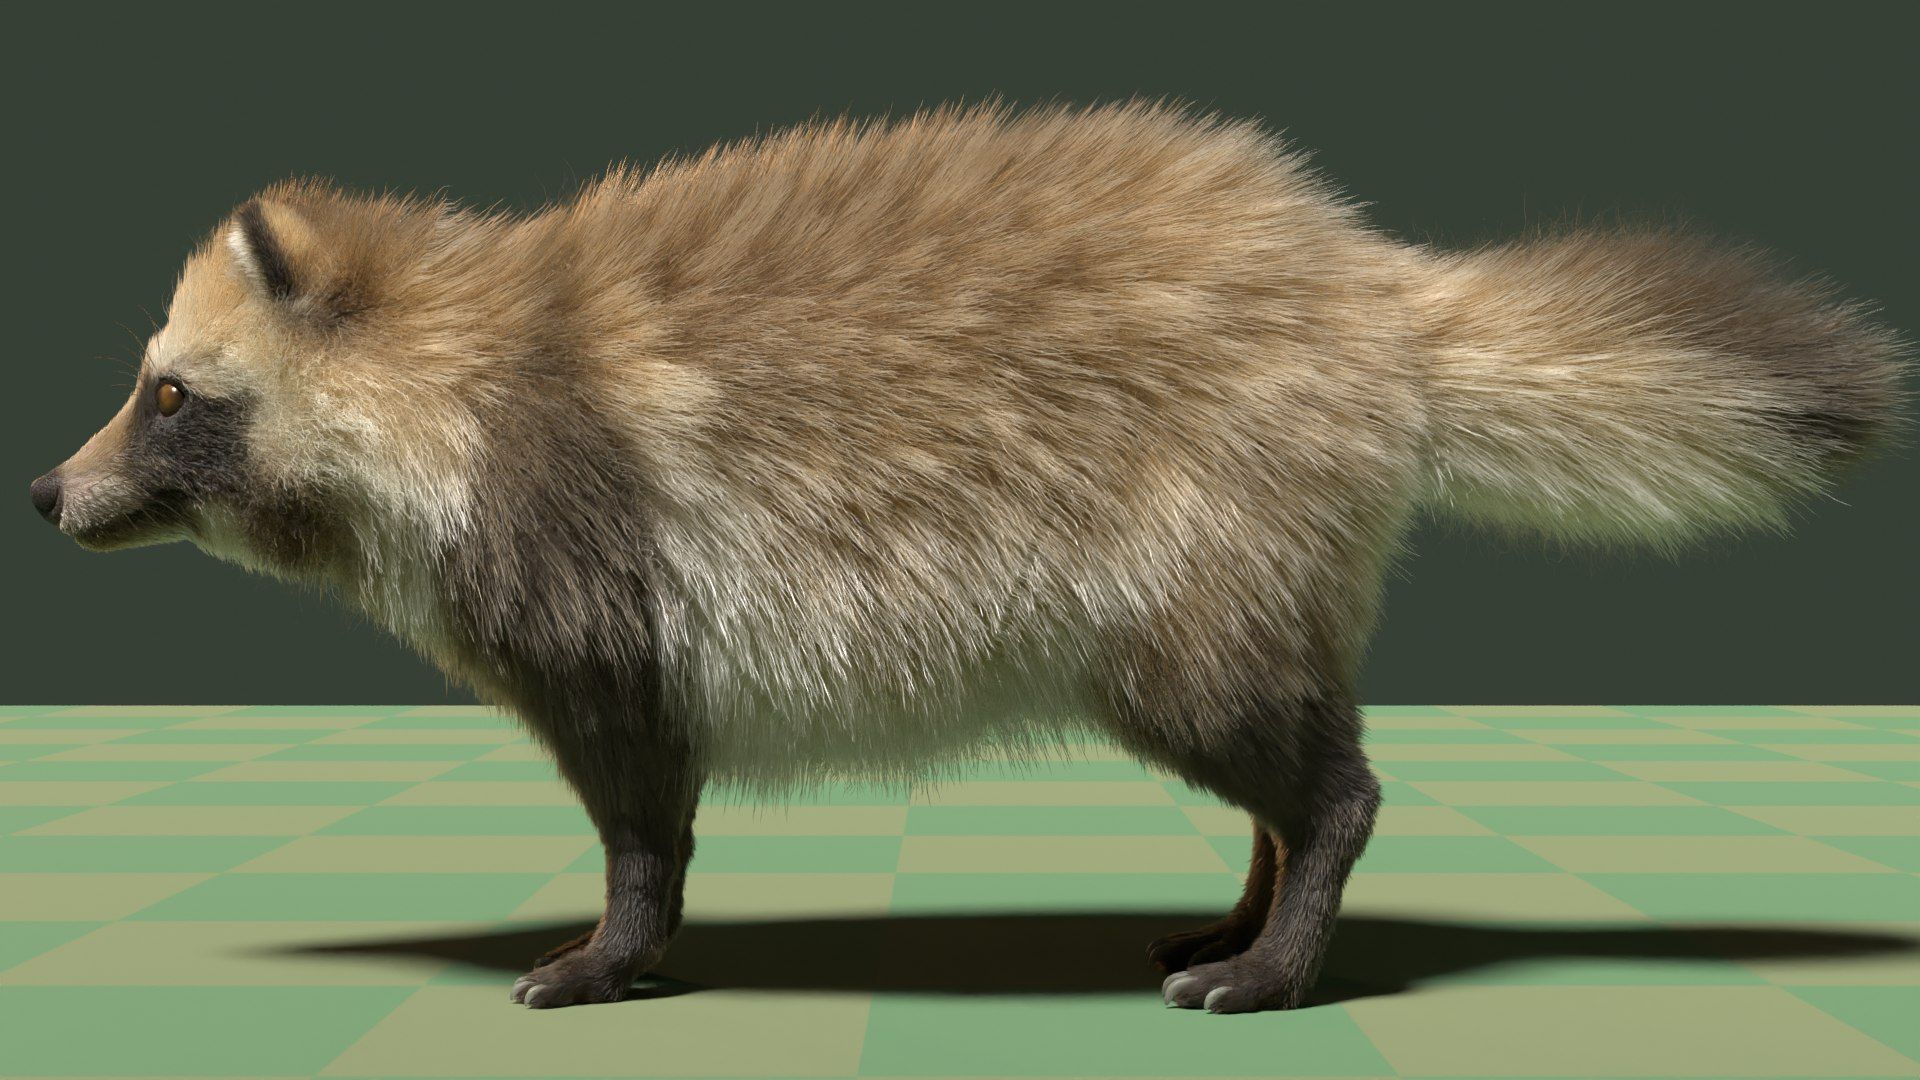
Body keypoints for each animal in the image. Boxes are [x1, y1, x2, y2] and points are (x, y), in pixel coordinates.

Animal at [30, 102, 1905, 1012]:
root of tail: (1365, 289)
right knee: (1288, 761)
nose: (47, 495)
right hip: (1255, 571)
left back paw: (1276, 958)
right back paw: (1235, 910)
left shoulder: (594, 568)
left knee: (1328, 778)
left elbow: (640, 814)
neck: (474, 359)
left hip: (1188, 554)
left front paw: (604, 956)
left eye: (169, 393)